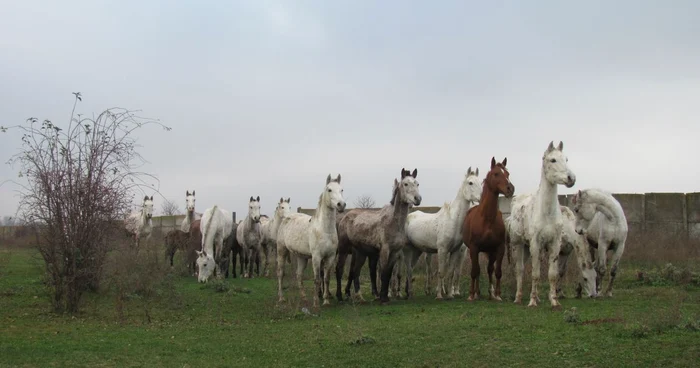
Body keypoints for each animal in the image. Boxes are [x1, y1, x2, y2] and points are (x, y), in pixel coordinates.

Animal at [276, 174, 348, 306]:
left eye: (342, 190)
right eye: (329, 189)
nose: (341, 205)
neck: (324, 230)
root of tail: (286, 218)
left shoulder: (330, 257)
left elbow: (326, 278)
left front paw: (326, 300)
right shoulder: (316, 257)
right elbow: (317, 279)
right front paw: (316, 302)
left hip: (302, 257)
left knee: (299, 275)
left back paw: (304, 298)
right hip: (281, 251)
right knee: (280, 273)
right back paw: (281, 297)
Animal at [404, 167, 482, 300]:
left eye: (481, 182)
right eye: (470, 182)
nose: (482, 198)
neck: (453, 221)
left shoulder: (455, 251)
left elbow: (450, 273)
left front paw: (450, 295)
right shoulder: (442, 250)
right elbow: (441, 272)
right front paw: (439, 295)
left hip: (416, 250)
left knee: (410, 269)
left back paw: (410, 293)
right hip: (407, 250)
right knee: (406, 269)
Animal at [462, 157, 516, 300]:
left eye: (507, 174)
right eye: (496, 174)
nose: (510, 189)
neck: (487, 219)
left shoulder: (499, 248)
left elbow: (497, 271)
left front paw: (497, 294)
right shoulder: (474, 248)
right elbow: (474, 271)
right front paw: (471, 294)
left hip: (491, 252)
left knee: (489, 268)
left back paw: (490, 293)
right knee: (478, 270)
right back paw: (476, 292)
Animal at [508, 141, 576, 308]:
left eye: (566, 159)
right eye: (553, 160)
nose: (571, 178)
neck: (547, 213)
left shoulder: (554, 244)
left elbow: (552, 274)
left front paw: (554, 301)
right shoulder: (535, 243)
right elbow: (535, 274)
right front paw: (532, 302)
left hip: (529, 249)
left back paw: (537, 297)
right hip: (519, 245)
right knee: (519, 270)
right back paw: (518, 297)